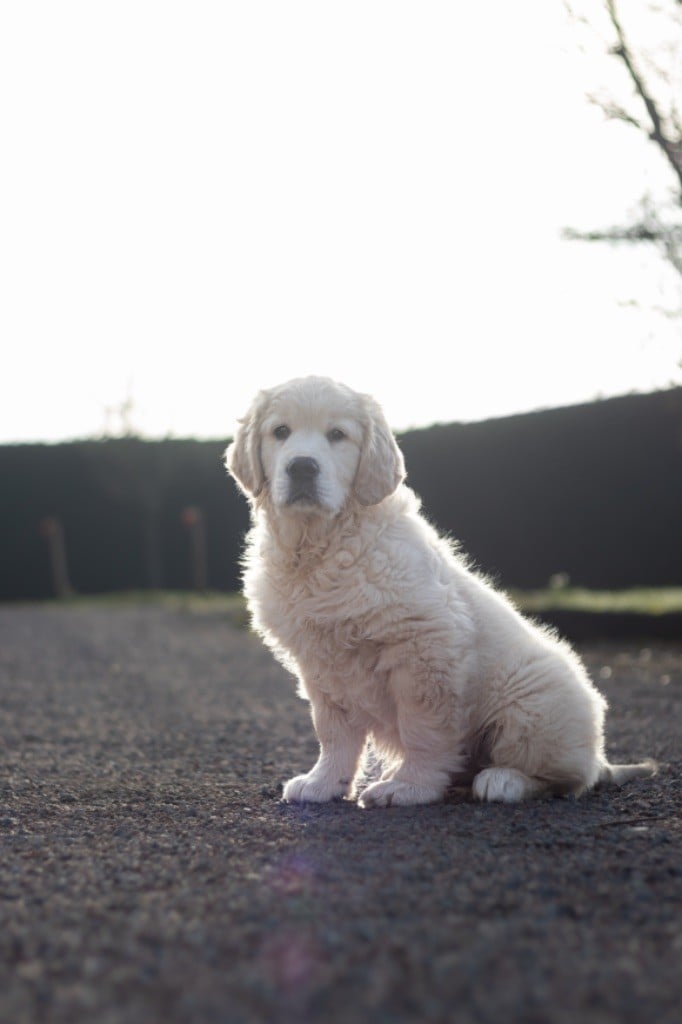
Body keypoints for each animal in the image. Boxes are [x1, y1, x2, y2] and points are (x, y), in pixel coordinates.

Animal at [224, 376, 655, 806]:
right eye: (280, 432)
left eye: (337, 435)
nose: (302, 466)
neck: (320, 545)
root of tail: (598, 756)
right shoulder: (319, 659)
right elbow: (333, 729)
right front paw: (325, 782)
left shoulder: (426, 641)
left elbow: (424, 725)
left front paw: (410, 786)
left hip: (532, 702)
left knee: (567, 777)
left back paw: (503, 780)